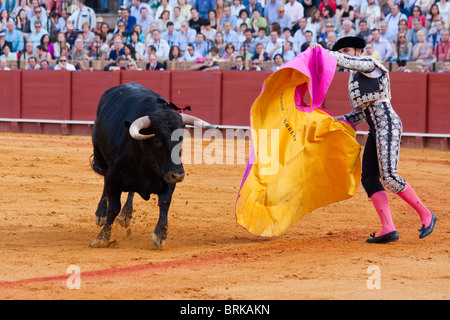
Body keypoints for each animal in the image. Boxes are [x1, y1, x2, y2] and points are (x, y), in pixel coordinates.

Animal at [89, 82, 214, 248]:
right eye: (156, 140)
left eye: (181, 139)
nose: (178, 175)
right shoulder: (113, 174)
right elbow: (113, 207)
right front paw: (102, 237)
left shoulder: (167, 175)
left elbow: (165, 202)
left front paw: (160, 234)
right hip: (101, 159)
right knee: (105, 185)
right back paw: (101, 214)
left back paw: (126, 214)